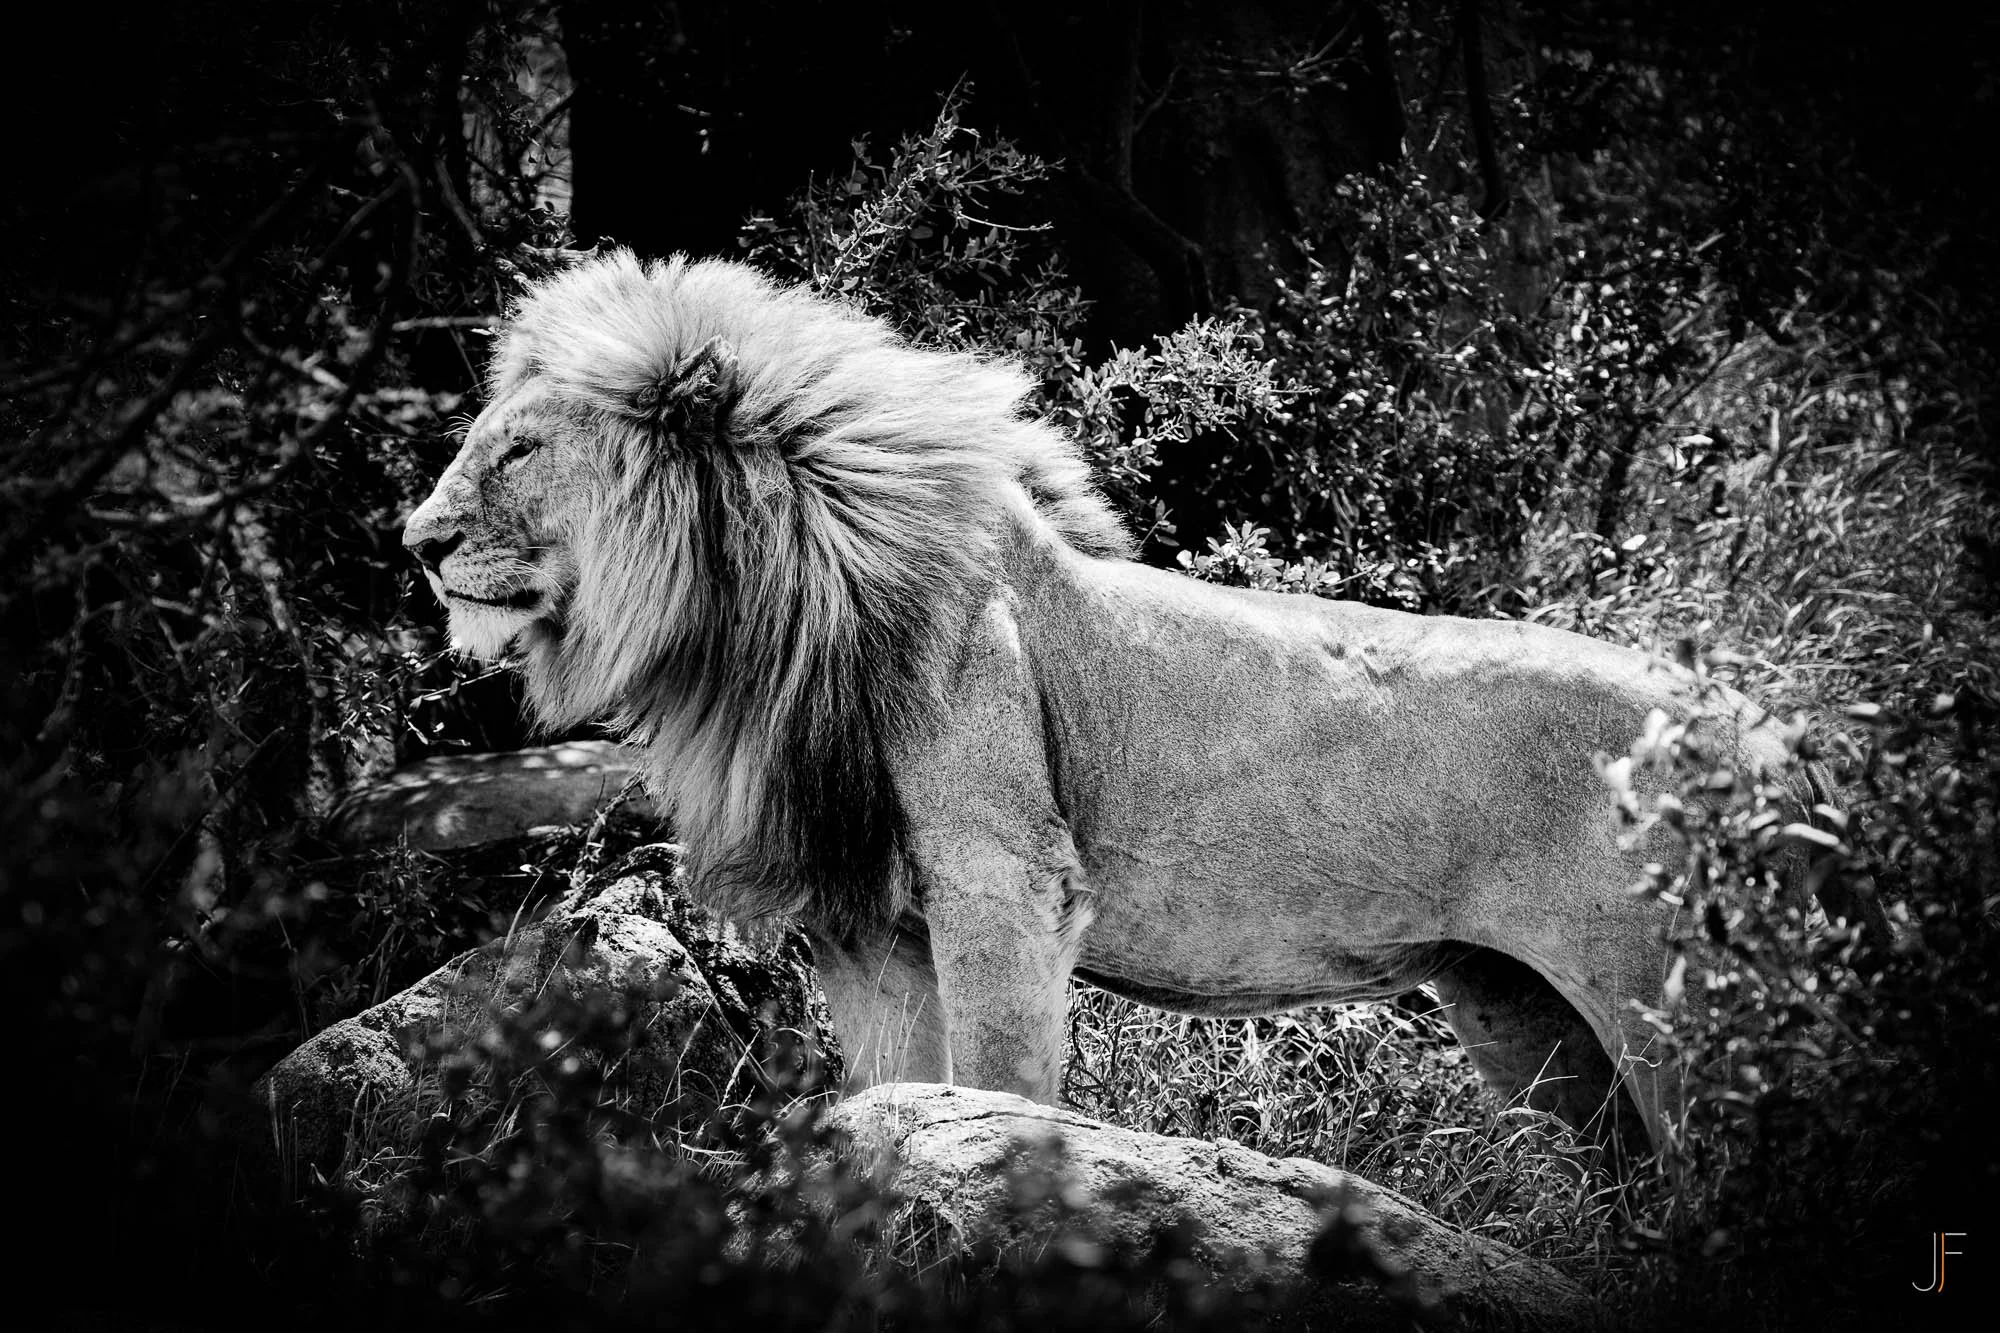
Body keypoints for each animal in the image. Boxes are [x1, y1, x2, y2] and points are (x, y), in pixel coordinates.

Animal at [403, 250, 1840, 1155]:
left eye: (517, 448)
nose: (415, 541)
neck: (753, 621)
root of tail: (1772, 734)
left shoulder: (1004, 879)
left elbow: (993, 1087)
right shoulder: (863, 926)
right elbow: (897, 1094)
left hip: (1685, 1016)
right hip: (1528, 1017)